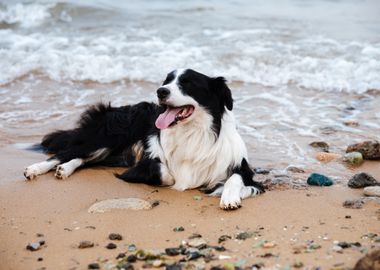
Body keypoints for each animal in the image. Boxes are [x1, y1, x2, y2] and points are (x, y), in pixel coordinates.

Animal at [23, 68, 264, 210]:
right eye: (166, 80)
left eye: (187, 83)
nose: (160, 91)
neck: (193, 132)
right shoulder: (151, 163)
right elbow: (166, 172)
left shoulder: (243, 169)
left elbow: (235, 178)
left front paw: (229, 197)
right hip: (105, 138)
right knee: (66, 152)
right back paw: (36, 168)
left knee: (82, 159)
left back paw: (65, 169)